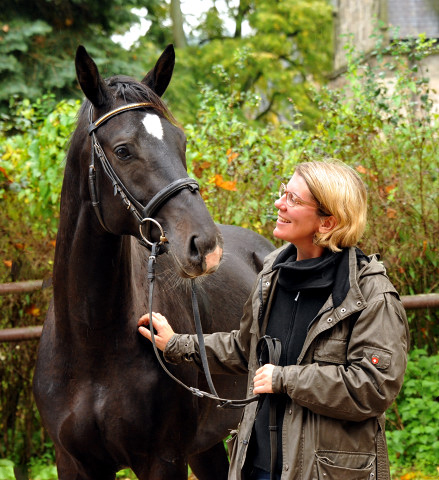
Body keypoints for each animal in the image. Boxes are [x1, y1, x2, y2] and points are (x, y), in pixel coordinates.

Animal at [33, 45, 276, 480]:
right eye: (123, 150)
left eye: (182, 142)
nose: (205, 246)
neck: (91, 342)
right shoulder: (73, 462)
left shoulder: (163, 458)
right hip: (205, 446)